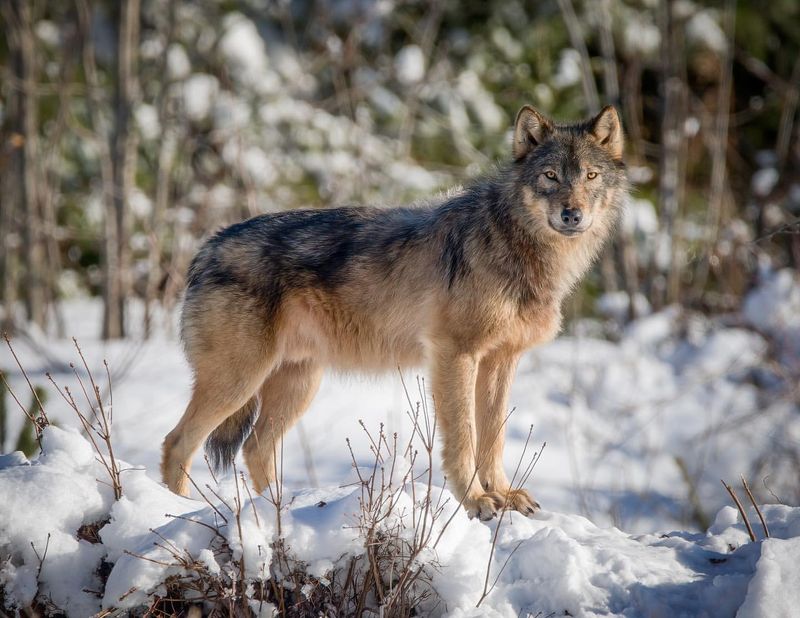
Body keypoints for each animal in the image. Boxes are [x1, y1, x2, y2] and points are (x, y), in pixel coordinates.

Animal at [161, 104, 624, 516]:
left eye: (590, 176)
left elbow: (493, 437)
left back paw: (277, 510)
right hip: (239, 381)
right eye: (550, 176)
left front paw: (504, 494)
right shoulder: (454, 354)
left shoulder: (501, 361)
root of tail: (207, 248)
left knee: (256, 448)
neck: (513, 243)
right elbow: (464, 437)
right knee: (177, 442)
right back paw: (178, 511)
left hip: (298, 384)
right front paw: (476, 501)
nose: (571, 214)